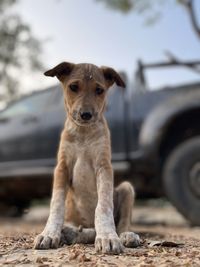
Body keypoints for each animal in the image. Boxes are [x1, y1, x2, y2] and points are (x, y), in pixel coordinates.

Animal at [34, 61, 141, 254]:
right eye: (73, 87)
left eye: (99, 90)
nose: (86, 115)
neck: (83, 132)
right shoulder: (62, 167)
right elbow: (56, 204)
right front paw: (49, 233)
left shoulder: (104, 166)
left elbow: (103, 206)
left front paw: (107, 236)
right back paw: (71, 232)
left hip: (127, 189)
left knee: (121, 224)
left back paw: (125, 235)